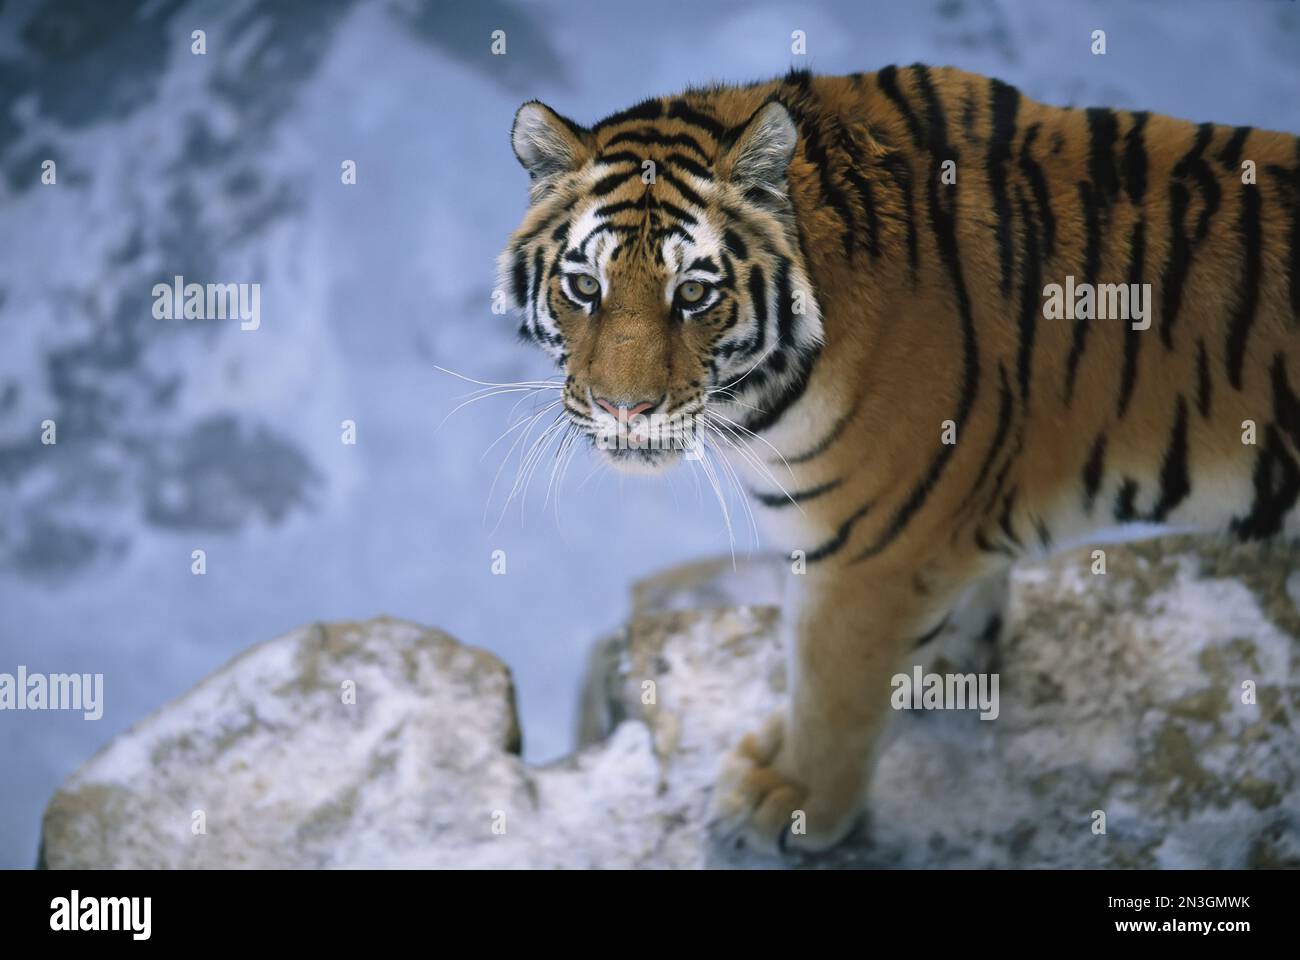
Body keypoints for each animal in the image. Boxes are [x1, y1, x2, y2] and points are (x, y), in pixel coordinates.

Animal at [496, 63, 1300, 848]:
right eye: (583, 286)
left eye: (693, 293)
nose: (622, 409)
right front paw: (947, 670)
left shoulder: (870, 557)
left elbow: (833, 691)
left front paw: (789, 800)